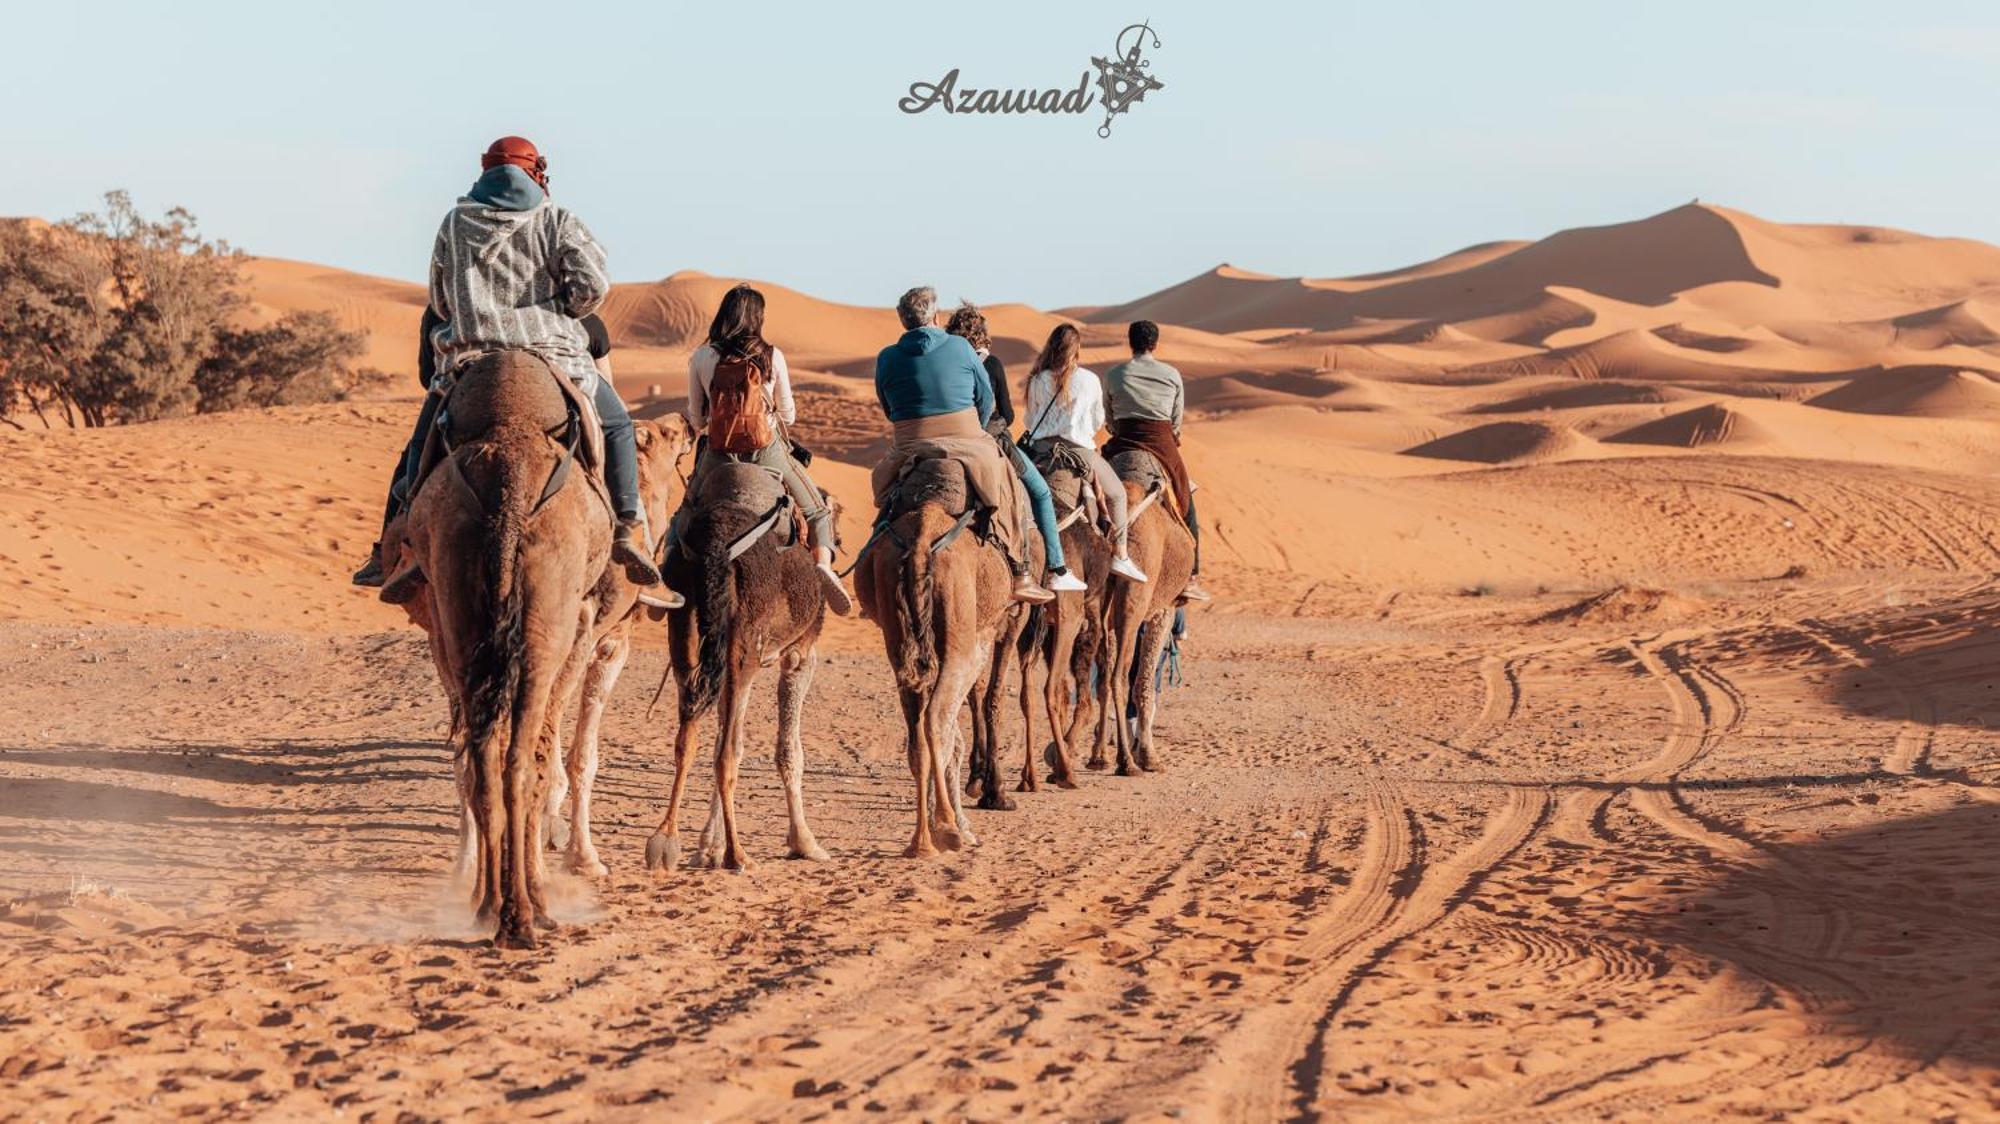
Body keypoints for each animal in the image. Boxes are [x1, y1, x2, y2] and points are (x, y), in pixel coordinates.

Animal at [390, 346, 608, 940]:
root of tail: (509, 486)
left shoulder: (445, 633)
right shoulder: (580, 622)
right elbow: (545, 758)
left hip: (458, 595)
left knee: (484, 756)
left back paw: (491, 906)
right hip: (546, 622)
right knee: (520, 759)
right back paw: (526, 913)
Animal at [640, 456, 828, 868]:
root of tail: (717, 548)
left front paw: (705, 846)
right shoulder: (799, 654)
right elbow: (786, 749)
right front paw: (804, 841)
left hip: (686, 627)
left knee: (687, 738)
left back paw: (665, 840)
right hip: (745, 647)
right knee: (727, 752)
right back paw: (737, 854)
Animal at [856, 460, 1024, 852]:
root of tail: (921, 542)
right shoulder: (997, 629)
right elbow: (974, 712)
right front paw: (976, 808)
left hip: (899, 640)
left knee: (917, 733)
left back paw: (921, 841)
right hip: (957, 635)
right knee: (936, 719)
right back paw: (946, 827)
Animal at [1088, 450, 1192, 776]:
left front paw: (1099, 754)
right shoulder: (1162, 611)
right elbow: (1145, 681)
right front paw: (1148, 754)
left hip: (1097, 605)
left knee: (1103, 678)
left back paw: (1100, 756)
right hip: (1134, 600)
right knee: (1119, 677)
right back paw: (1128, 761)